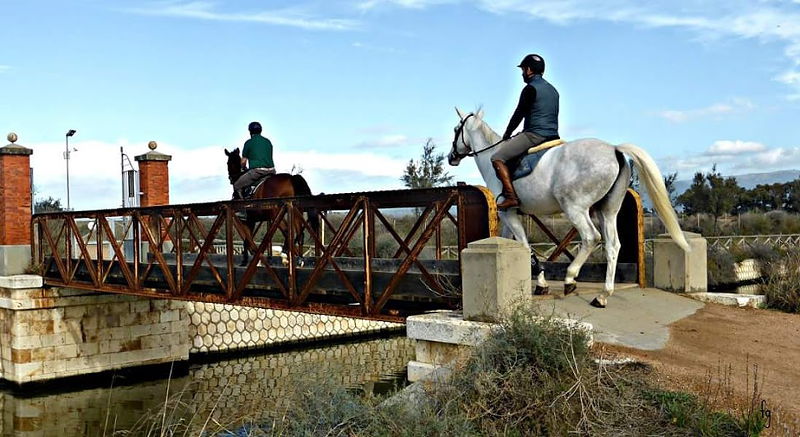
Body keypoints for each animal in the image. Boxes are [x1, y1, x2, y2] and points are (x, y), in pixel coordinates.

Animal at [450, 108, 688, 306]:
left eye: (455, 129)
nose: (452, 157)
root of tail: (614, 150)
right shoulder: (511, 214)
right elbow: (515, 242)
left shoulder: (508, 212)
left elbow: (525, 245)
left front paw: (541, 283)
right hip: (607, 211)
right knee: (613, 246)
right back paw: (602, 296)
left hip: (575, 209)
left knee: (591, 237)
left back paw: (570, 278)